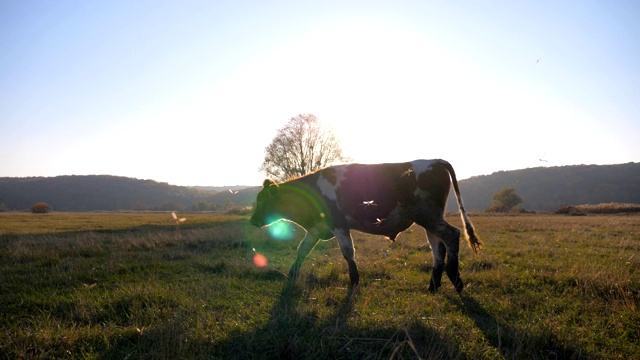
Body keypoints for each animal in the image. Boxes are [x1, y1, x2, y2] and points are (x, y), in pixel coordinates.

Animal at [250, 160, 480, 292]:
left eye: (261, 200)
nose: (252, 220)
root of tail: (433, 161)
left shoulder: (339, 226)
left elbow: (348, 252)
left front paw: (354, 281)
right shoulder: (317, 228)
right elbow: (302, 249)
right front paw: (291, 275)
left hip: (429, 217)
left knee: (452, 235)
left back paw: (455, 279)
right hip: (429, 220)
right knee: (438, 248)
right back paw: (433, 285)